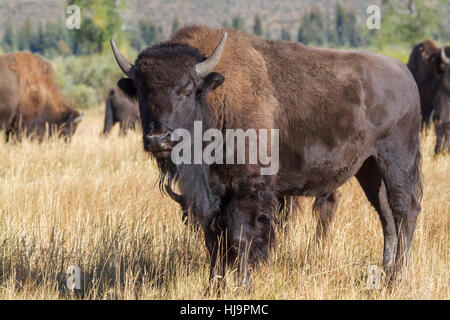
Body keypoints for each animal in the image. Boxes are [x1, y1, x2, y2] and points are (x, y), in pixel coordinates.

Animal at [110, 25, 420, 288]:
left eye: (187, 90)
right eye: (141, 92)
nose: (158, 139)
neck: (215, 98)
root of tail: (405, 74)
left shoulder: (248, 187)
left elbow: (240, 236)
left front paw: (243, 285)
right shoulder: (213, 194)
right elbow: (214, 241)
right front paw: (214, 286)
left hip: (396, 160)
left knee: (405, 210)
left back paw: (397, 279)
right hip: (369, 168)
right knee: (386, 215)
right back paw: (385, 273)